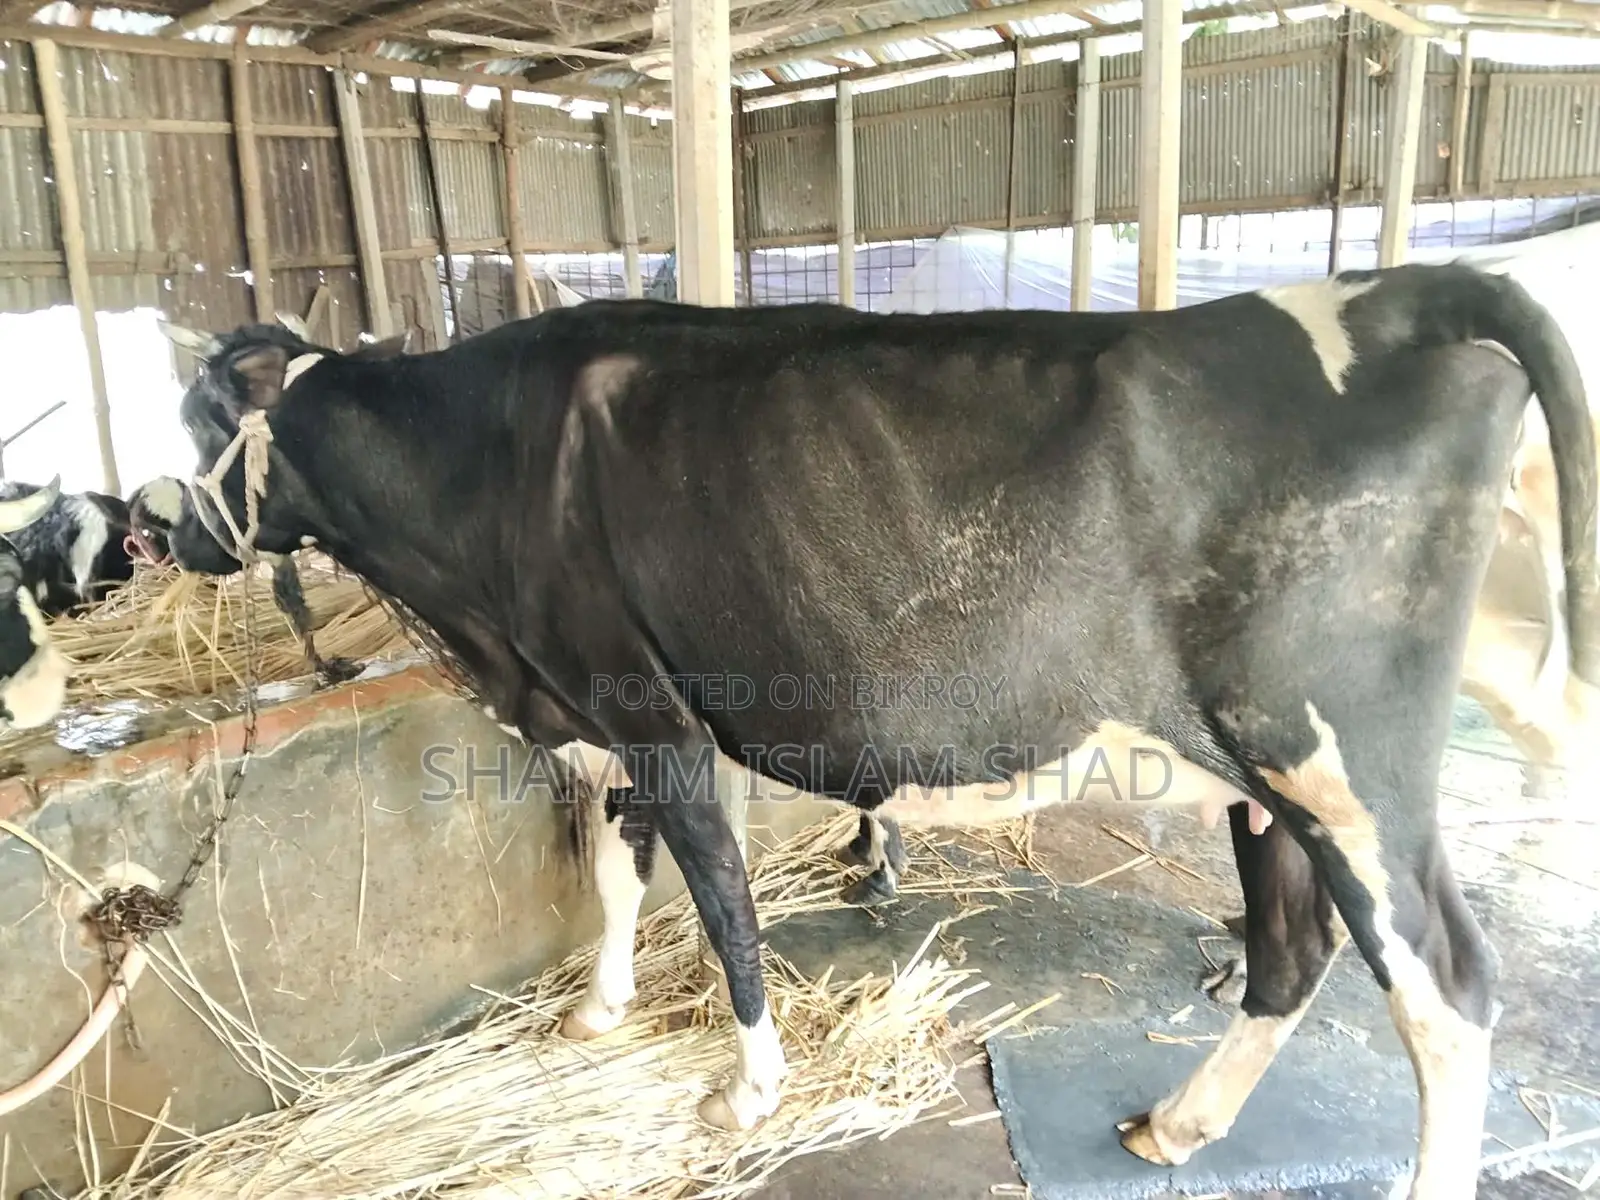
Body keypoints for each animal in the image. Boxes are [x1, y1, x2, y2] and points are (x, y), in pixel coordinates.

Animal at [156, 262, 1598, 1199]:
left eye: (198, 418)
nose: (160, 532)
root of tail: (1394, 293)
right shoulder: (604, 708)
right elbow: (620, 869)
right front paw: (601, 1010)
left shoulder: (649, 706)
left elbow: (719, 898)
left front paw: (745, 1087)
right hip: (1270, 777)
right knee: (1294, 952)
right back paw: (1178, 1126)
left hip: (1349, 763)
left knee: (1445, 988)